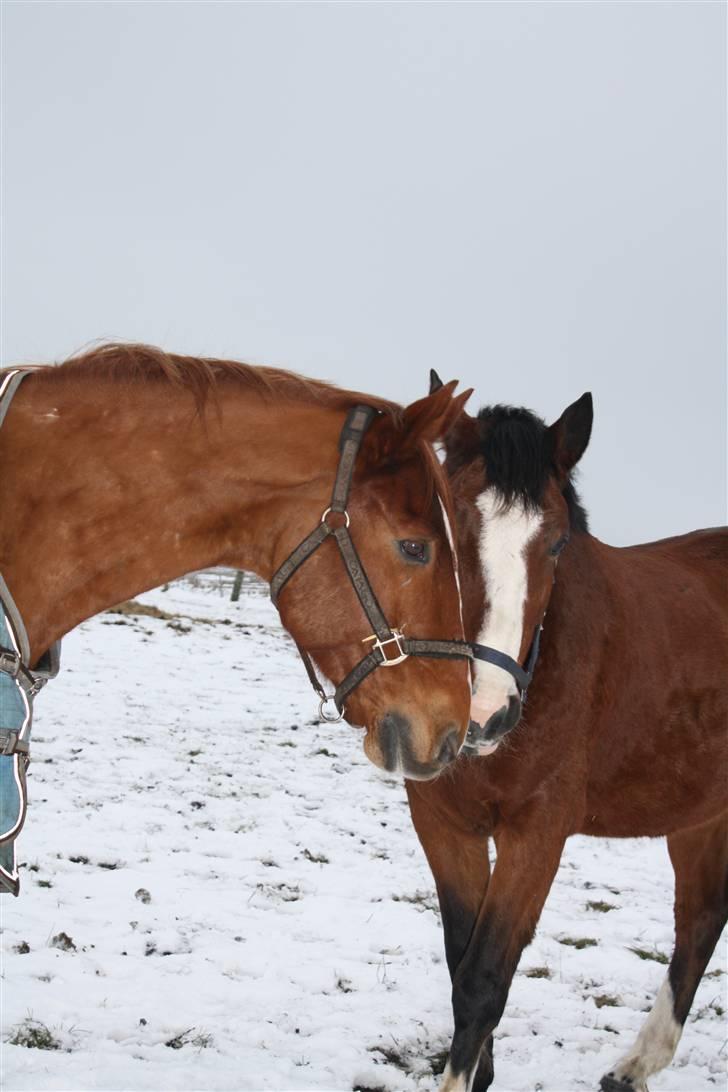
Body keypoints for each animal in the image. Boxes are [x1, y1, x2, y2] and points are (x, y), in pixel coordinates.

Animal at [408, 371, 724, 1087]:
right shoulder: (443, 823)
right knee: (699, 920)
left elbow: (483, 980)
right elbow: (461, 963)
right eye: (451, 522)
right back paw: (636, 1065)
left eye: (555, 543)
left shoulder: (538, 834)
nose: (485, 712)